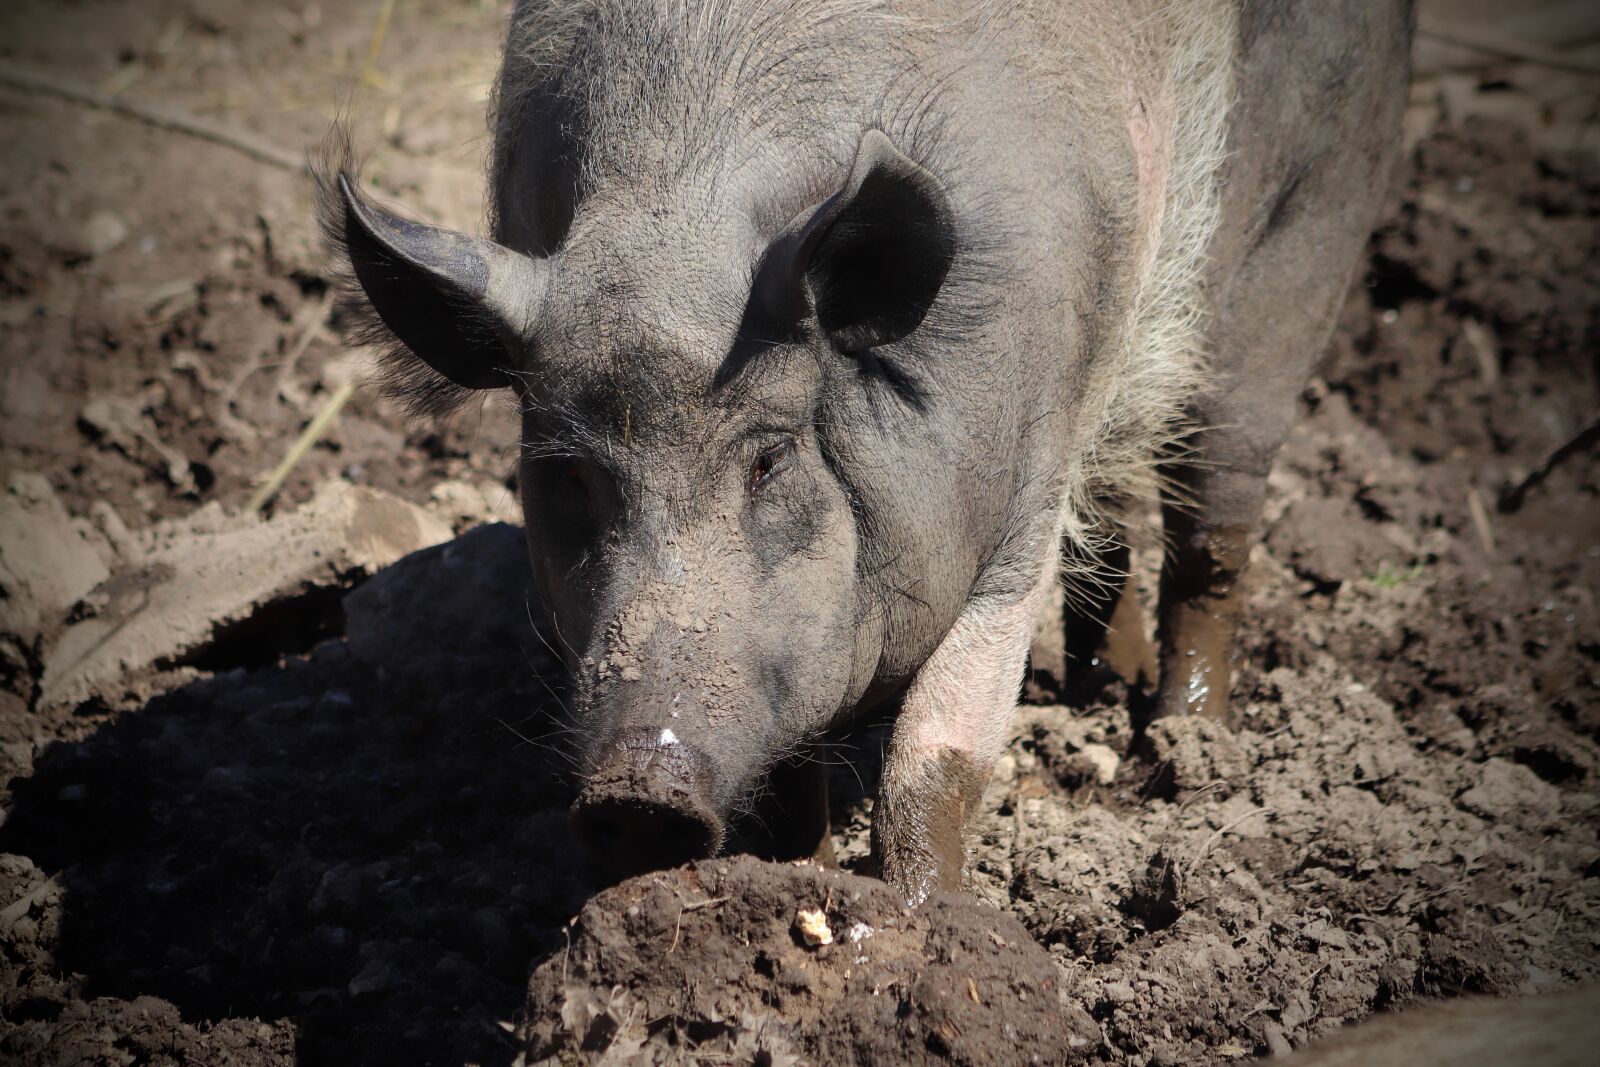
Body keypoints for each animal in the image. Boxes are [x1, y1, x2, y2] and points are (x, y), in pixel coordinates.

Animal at [318, 0, 1412, 901]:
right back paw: (1105, 685)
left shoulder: (1023, 493)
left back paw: (1184, 739)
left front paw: (928, 920)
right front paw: (791, 878)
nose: (637, 792)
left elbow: (937, 752)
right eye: (571, 476)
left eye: (768, 458)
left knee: (1212, 518)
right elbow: (792, 756)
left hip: (1302, 225)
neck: (685, 217)